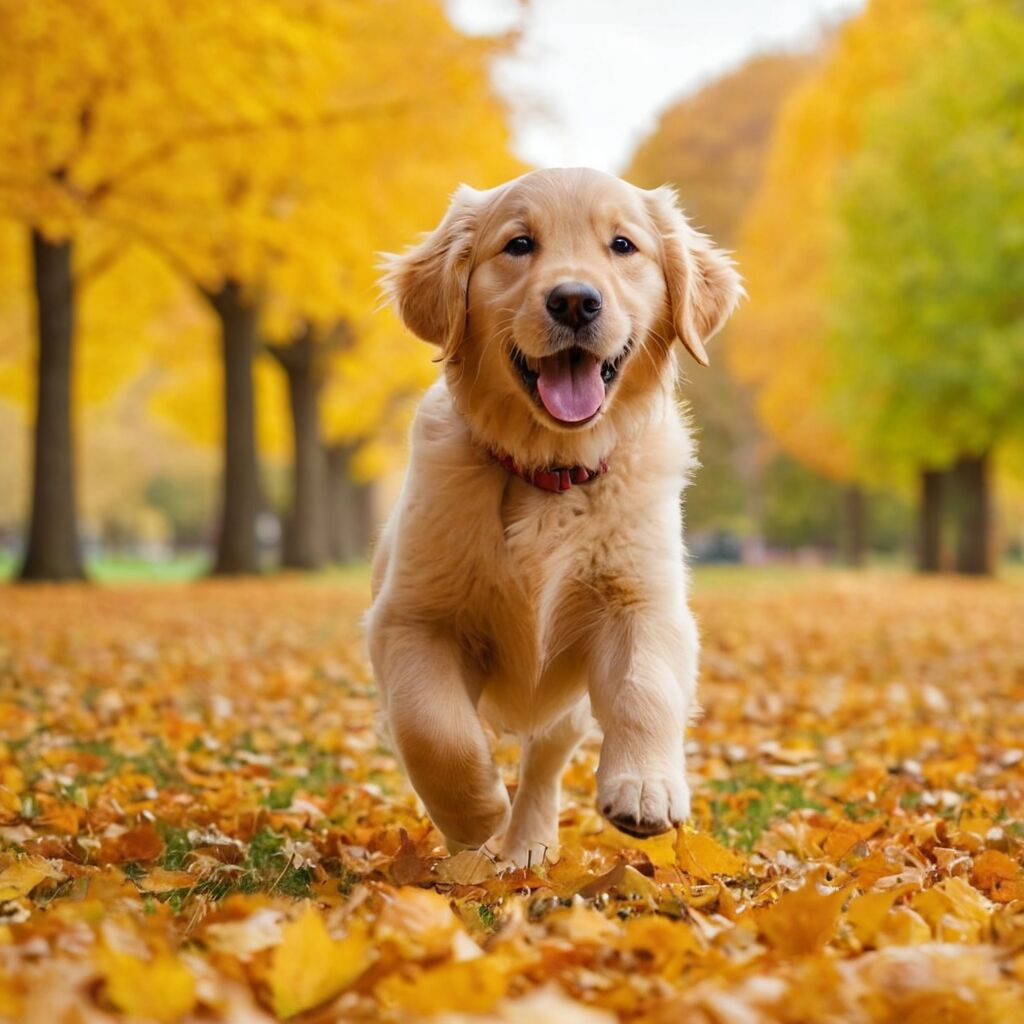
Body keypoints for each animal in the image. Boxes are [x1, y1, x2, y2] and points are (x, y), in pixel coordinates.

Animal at [366, 167, 737, 864]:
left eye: (622, 245)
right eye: (518, 245)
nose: (573, 301)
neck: (551, 471)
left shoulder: (641, 600)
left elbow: (646, 687)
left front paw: (645, 788)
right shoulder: (412, 618)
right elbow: (435, 729)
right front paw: (475, 812)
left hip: (566, 710)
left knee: (545, 759)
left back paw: (531, 845)